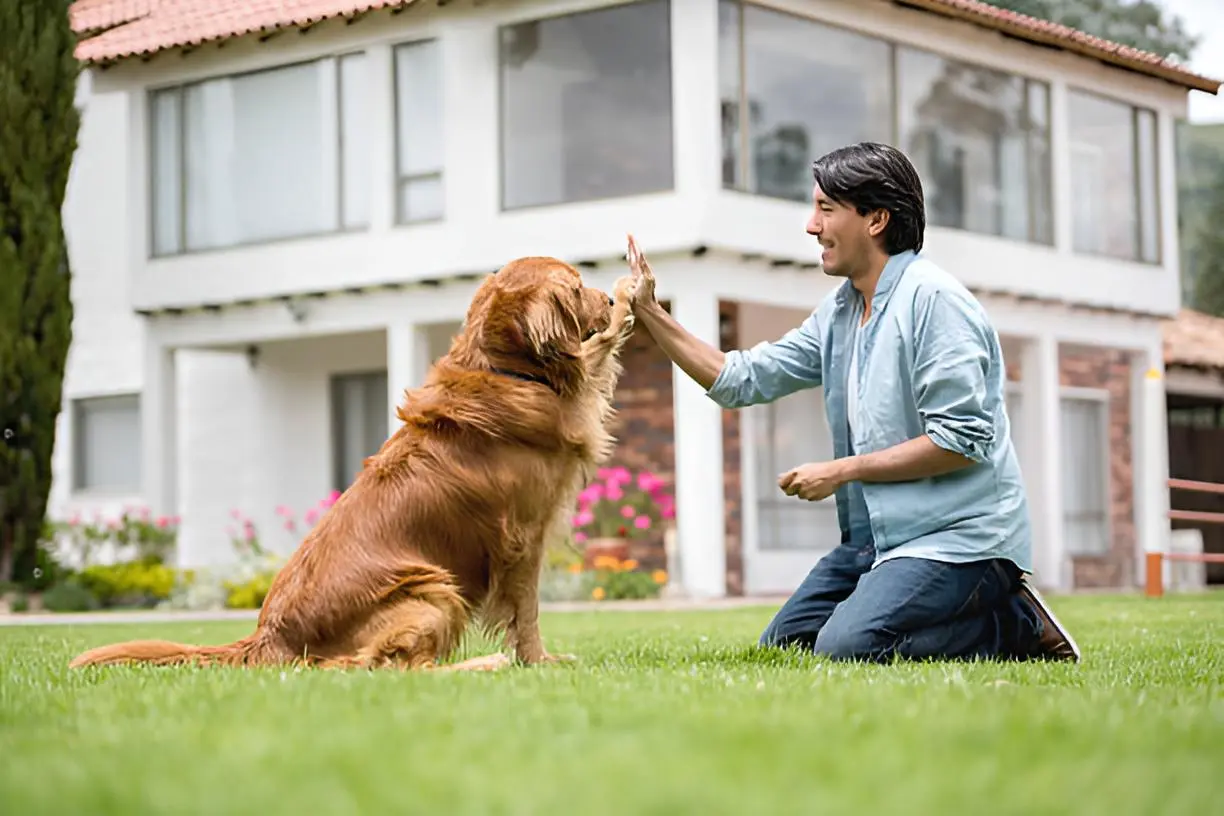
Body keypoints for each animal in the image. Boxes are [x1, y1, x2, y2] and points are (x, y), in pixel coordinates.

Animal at [70, 258, 641, 675]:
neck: (503, 369)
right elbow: (527, 613)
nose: (609, 299)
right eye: (577, 287)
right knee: (386, 668)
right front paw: (541, 661)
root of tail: (268, 637)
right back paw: (484, 664)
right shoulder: (522, 539)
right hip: (432, 590)